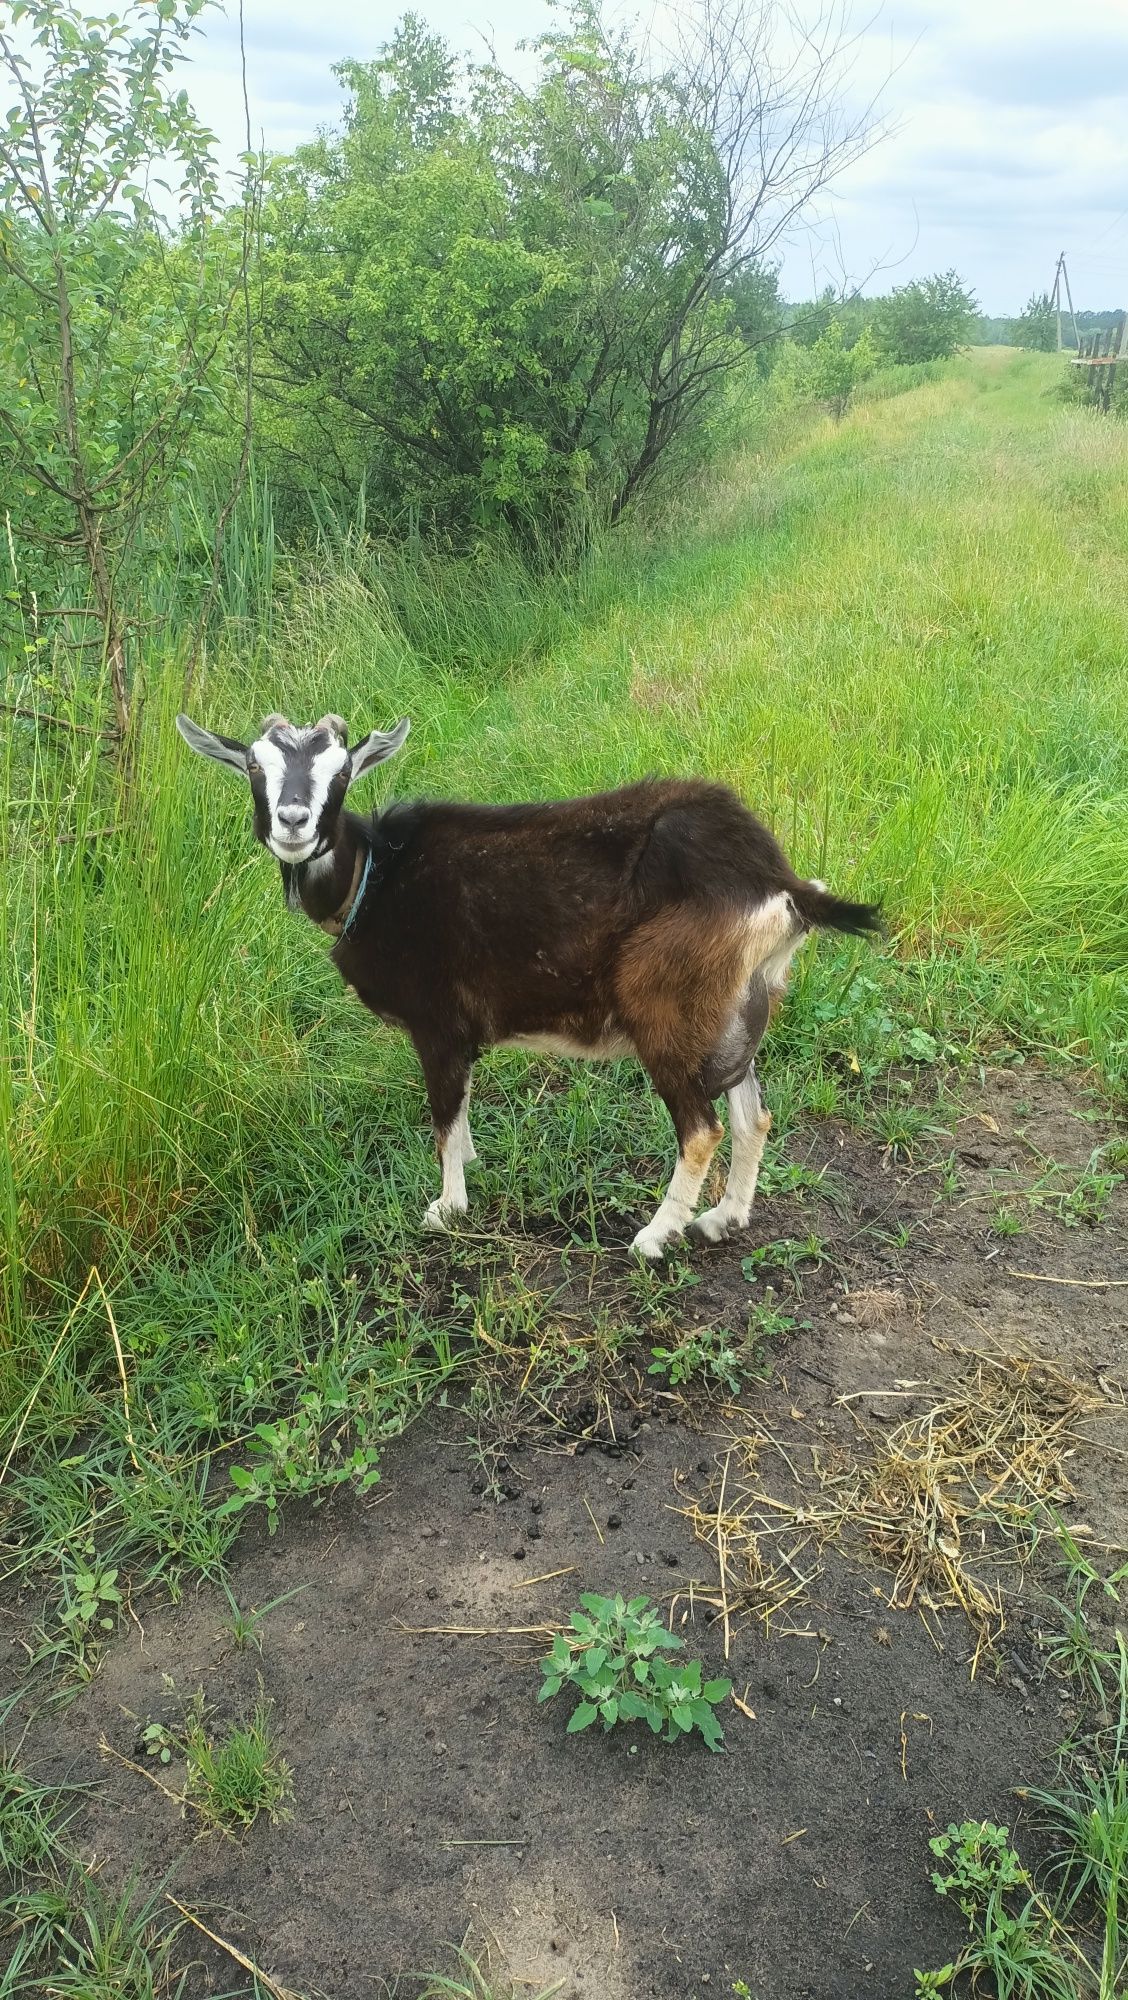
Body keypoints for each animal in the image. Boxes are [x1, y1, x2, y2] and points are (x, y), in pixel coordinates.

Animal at [178, 712, 880, 1256]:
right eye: (254, 767)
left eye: (343, 772)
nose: (293, 822)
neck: (375, 878)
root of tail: (776, 880)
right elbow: (460, 1113)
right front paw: (469, 1165)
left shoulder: (437, 1025)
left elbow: (442, 1115)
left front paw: (448, 1207)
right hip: (732, 1008)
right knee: (752, 1114)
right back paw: (723, 1218)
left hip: (665, 1007)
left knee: (701, 1128)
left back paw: (654, 1236)